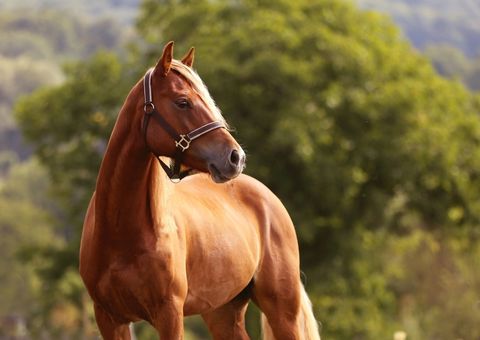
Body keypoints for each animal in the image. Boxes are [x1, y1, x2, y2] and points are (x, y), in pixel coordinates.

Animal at [79, 41, 320, 338]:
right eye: (183, 102)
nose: (235, 157)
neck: (121, 233)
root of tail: (268, 198)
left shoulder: (169, 315)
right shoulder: (110, 319)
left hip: (282, 309)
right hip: (223, 311)